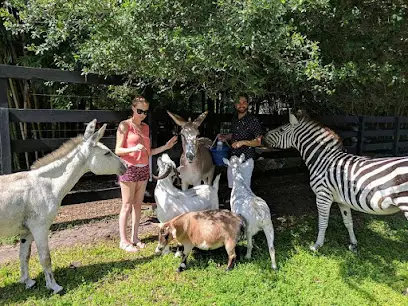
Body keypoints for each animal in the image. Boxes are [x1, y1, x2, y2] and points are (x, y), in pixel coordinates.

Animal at [262, 111, 408, 252]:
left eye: (281, 130)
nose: (262, 138)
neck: (323, 160)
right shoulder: (342, 201)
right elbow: (348, 221)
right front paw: (353, 244)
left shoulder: (322, 195)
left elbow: (323, 223)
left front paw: (317, 245)